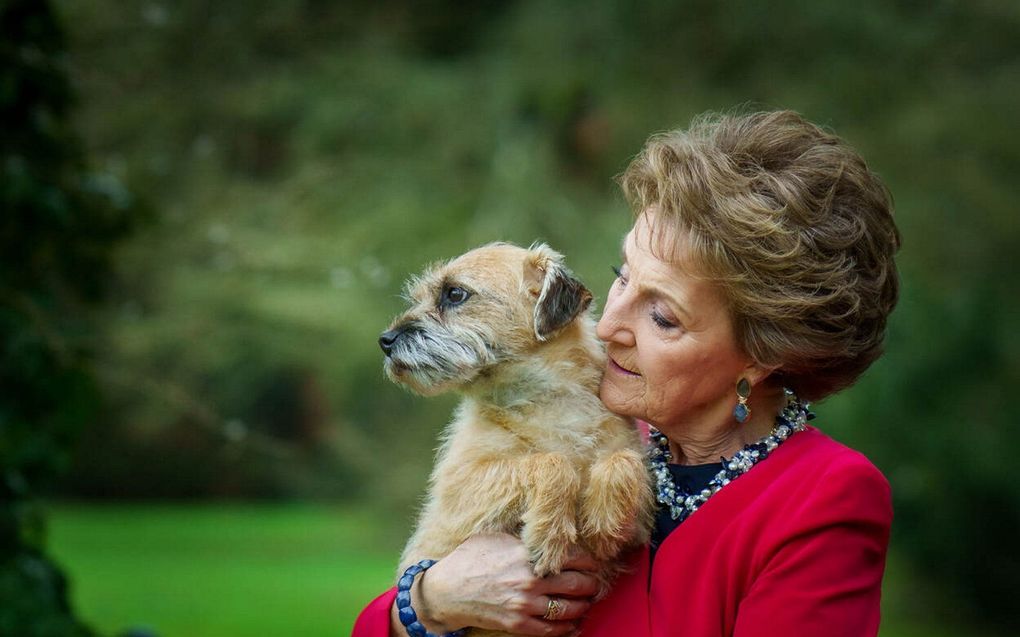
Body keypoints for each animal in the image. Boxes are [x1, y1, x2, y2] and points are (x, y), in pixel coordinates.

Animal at [381, 240, 652, 619]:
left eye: (454, 294)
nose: (385, 340)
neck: (544, 400)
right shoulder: (460, 491)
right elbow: (552, 463)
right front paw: (550, 537)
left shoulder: (641, 522)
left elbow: (624, 460)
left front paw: (604, 524)